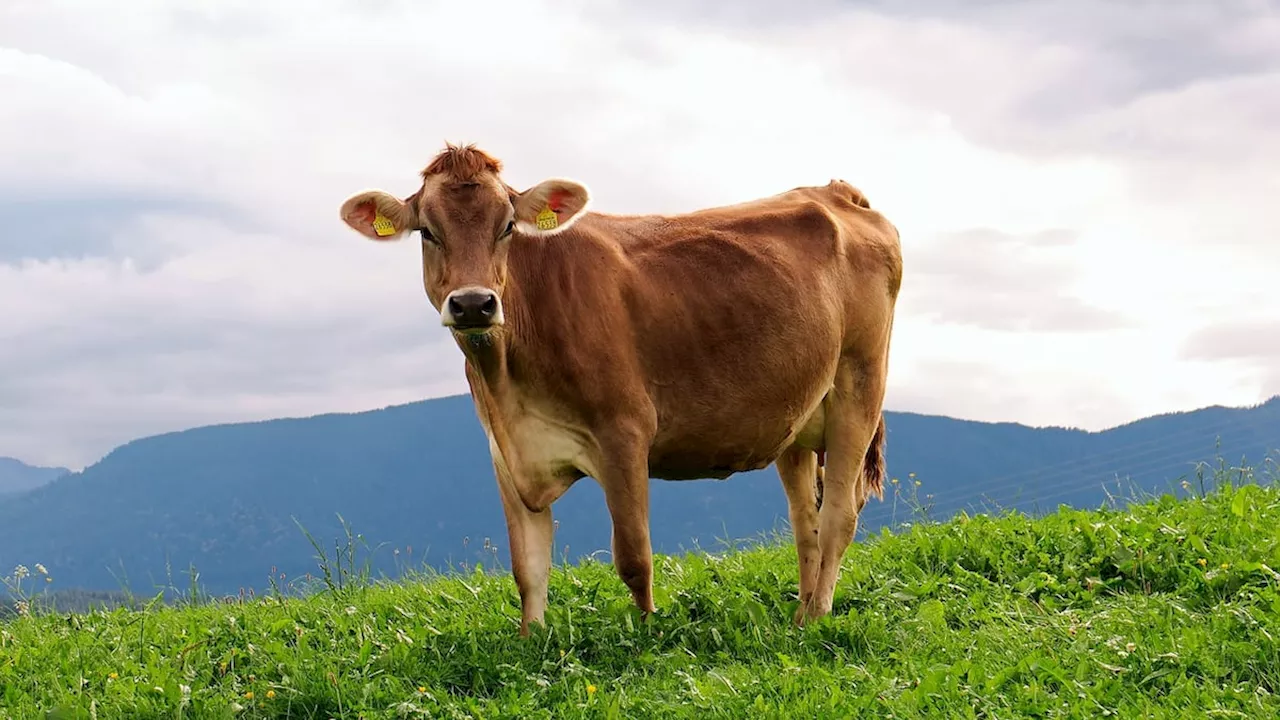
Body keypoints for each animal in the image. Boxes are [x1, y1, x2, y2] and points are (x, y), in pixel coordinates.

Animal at [337, 141, 901, 632]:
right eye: (428, 232)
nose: (474, 304)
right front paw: (531, 641)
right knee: (806, 523)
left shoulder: (624, 432)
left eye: (507, 227)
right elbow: (528, 567)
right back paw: (802, 611)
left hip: (860, 384)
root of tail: (835, 191)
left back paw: (817, 616)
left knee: (838, 516)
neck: (506, 383)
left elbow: (633, 555)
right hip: (796, 418)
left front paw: (648, 634)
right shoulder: (505, 451)